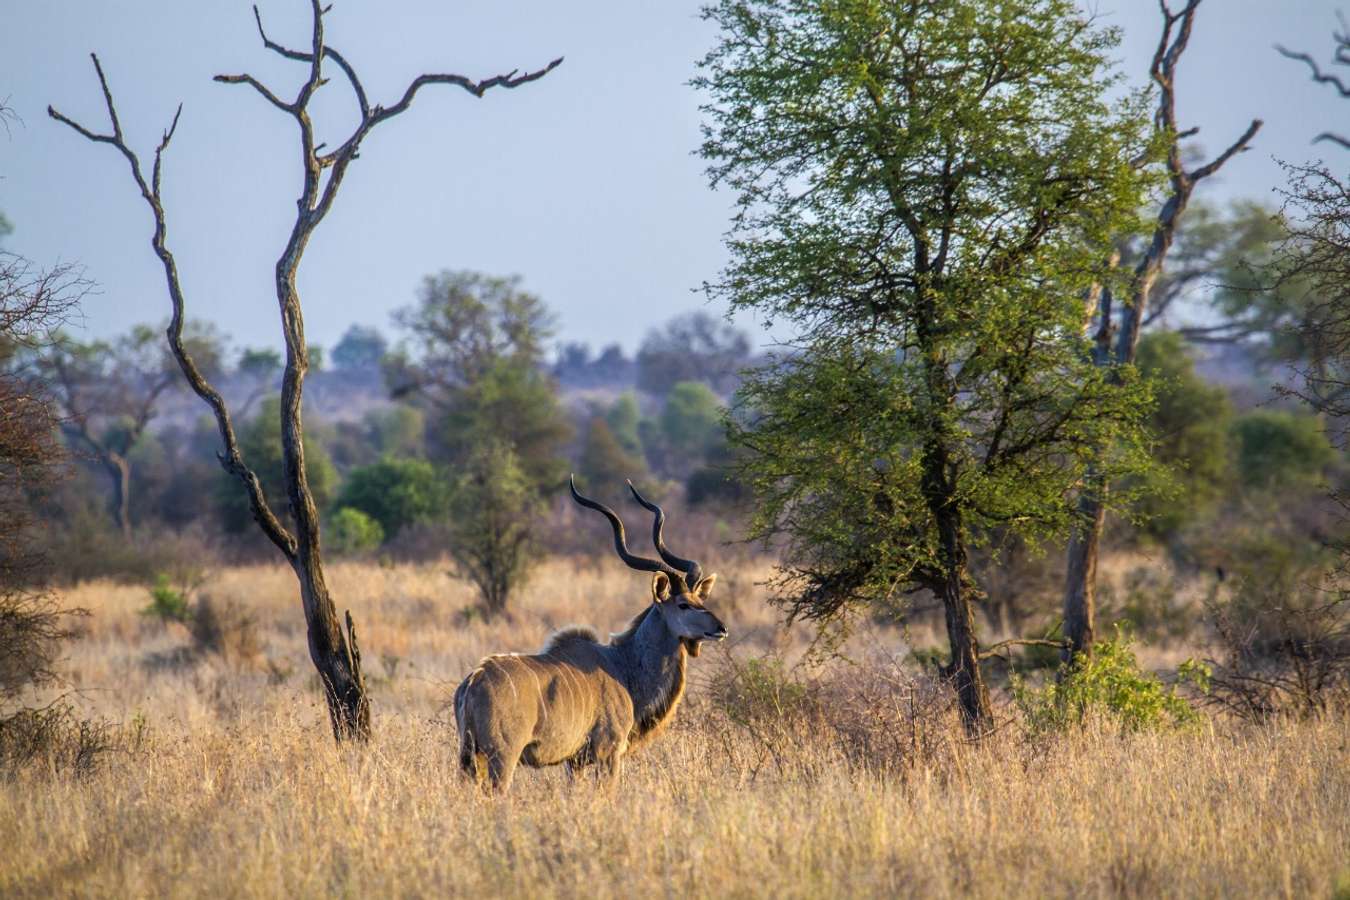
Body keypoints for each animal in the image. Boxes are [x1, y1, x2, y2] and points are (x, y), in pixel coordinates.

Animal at [453, 474, 729, 793]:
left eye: (701, 600)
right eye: (683, 604)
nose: (720, 629)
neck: (623, 665)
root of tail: (474, 680)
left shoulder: (575, 762)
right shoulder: (609, 753)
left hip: (471, 759)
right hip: (502, 757)